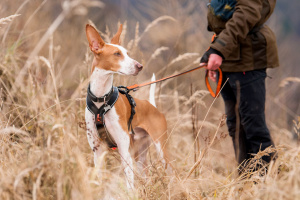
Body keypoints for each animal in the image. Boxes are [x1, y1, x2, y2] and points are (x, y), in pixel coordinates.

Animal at [85, 24, 172, 190]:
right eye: (117, 54)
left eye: (126, 53)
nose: (140, 66)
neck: (101, 99)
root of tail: (152, 106)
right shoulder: (97, 151)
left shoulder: (124, 151)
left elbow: (129, 185)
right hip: (140, 156)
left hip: (161, 150)